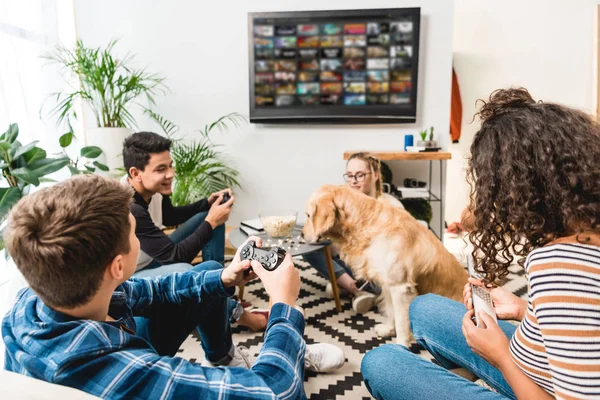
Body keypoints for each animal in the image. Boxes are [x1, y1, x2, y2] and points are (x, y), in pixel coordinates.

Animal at [302, 186, 466, 346]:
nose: (302, 235)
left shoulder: (400, 288)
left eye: (308, 215)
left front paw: (400, 346)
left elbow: (401, 323)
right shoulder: (387, 283)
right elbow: (391, 311)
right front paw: (388, 330)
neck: (368, 224)